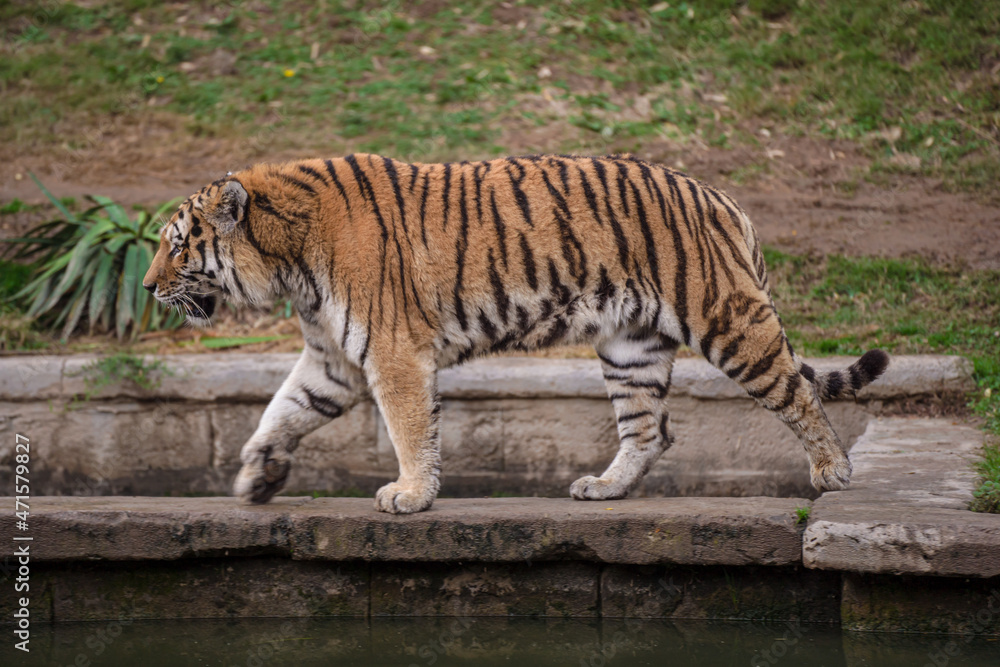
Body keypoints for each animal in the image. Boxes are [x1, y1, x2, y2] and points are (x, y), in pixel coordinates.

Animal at [142, 153, 889, 514]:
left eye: (177, 246)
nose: (147, 286)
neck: (288, 260)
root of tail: (722, 198)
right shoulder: (334, 359)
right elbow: (281, 411)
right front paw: (255, 477)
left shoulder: (392, 353)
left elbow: (409, 428)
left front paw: (410, 494)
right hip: (631, 346)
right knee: (649, 429)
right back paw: (604, 488)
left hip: (727, 319)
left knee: (797, 391)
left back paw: (833, 472)